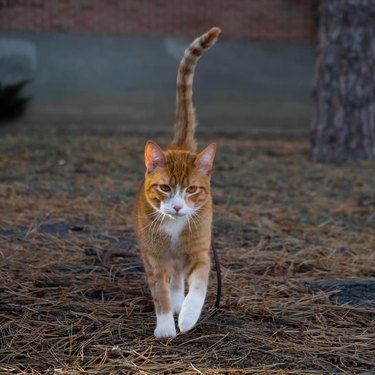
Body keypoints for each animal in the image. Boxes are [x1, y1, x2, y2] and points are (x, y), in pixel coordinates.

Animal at [134, 25, 220, 338]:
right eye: (165, 188)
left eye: (192, 189)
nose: (179, 207)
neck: (173, 227)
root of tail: (179, 145)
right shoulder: (154, 260)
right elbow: (160, 294)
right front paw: (165, 326)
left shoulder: (199, 254)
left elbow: (198, 287)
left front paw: (188, 317)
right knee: (172, 280)